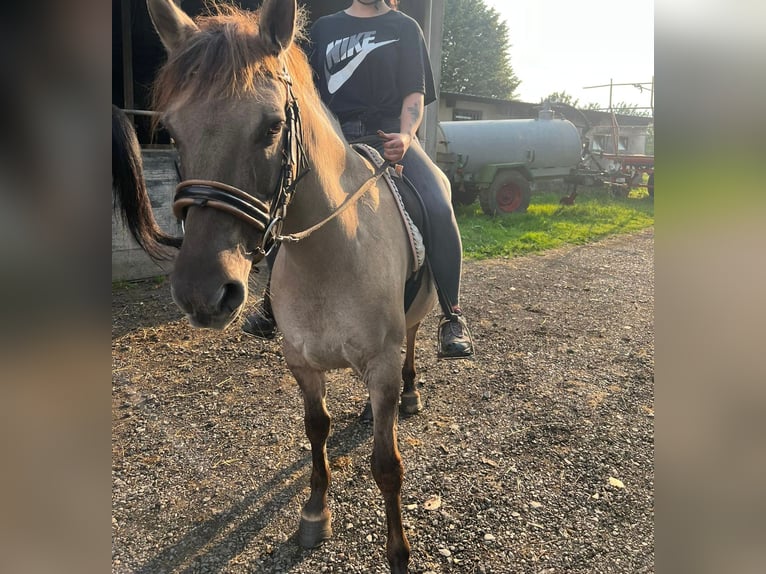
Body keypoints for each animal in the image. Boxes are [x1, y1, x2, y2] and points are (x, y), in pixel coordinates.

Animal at [112, 2, 438, 572]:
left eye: (271, 127)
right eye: (170, 131)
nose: (202, 293)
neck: (330, 255)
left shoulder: (381, 363)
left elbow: (386, 465)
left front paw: (398, 553)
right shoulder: (301, 362)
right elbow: (316, 431)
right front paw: (314, 515)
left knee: (416, 338)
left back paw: (413, 390)